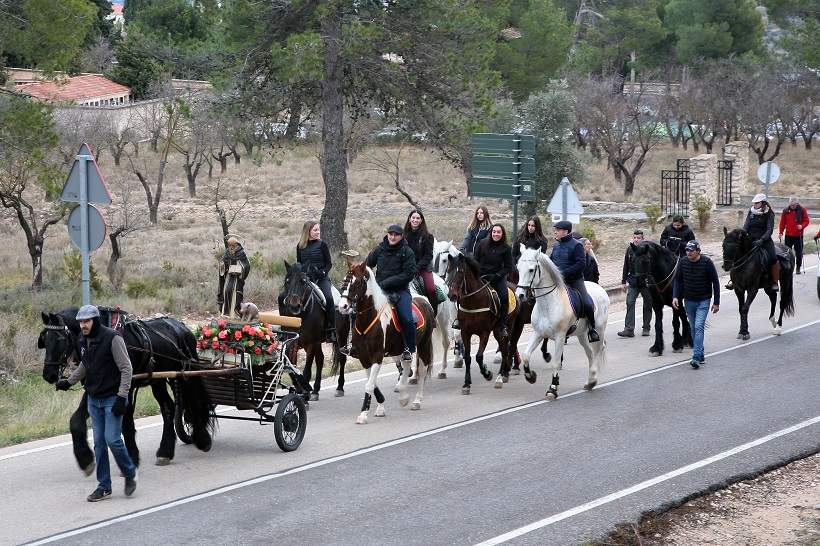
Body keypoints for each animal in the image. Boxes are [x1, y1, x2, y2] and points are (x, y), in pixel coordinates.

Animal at [38, 306, 216, 472]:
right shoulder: (95, 389)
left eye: (60, 339)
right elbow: (76, 421)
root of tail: (182, 327)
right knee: (168, 407)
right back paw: (165, 452)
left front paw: (131, 458)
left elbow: (126, 422)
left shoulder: (125, 388)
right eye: (44, 340)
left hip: (184, 374)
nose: (48, 375)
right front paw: (85, 459)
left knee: (193, 401)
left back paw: (202, 439)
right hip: (158, 380)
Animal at [278, 260, 338, 400]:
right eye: (287, 281)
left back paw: (340, 388)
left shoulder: (310, 343)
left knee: (341, 360)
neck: (300, 316)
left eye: (303, 281)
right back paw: (315, 390)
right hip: (318, 342)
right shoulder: (291, 341)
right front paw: (299, 388)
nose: (294, 305)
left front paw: (305, 394)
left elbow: (306, 371)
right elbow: (290, 368)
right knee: (320, 359)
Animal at [334, 255, 436, 420]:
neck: (370, 317)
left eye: (357, 282)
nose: (342, 306)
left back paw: (416, 400)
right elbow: (372, 383)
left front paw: (363, 414)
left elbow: (369, 384)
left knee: (421, 370)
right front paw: (380, 407)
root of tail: (423, 300)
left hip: (424, 345)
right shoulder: (364, 357)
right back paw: (402, 393)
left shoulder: (377, 355)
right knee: (406, 364)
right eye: (345, 280)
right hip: (402, 349)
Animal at [442, 249, 520, 394]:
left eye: (461, 272)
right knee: (503, 347)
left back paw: (501, 376)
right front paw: (466, 384)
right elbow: (468, 358)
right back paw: (504, 373)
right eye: (448, 271)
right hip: (496, 330)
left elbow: (478, 356)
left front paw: (487, 373)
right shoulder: (465, 332)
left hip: (508, 326)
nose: (452, 295)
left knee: (505, 349)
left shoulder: (484, 332)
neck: (473, 301)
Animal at [512, 248, 608, 400]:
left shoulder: (560, 336)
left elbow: (556, 362)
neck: (548, 303)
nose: (520, 295)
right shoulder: (538, 333)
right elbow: (526, 355)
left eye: (531, 270)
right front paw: (530, 376)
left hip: (599, 329)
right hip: (581, 334)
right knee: (590, 352)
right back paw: (590, 381)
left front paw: (553, 388)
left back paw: (592, 378)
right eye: (518, 268)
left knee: (599, 348)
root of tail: (600, 289)